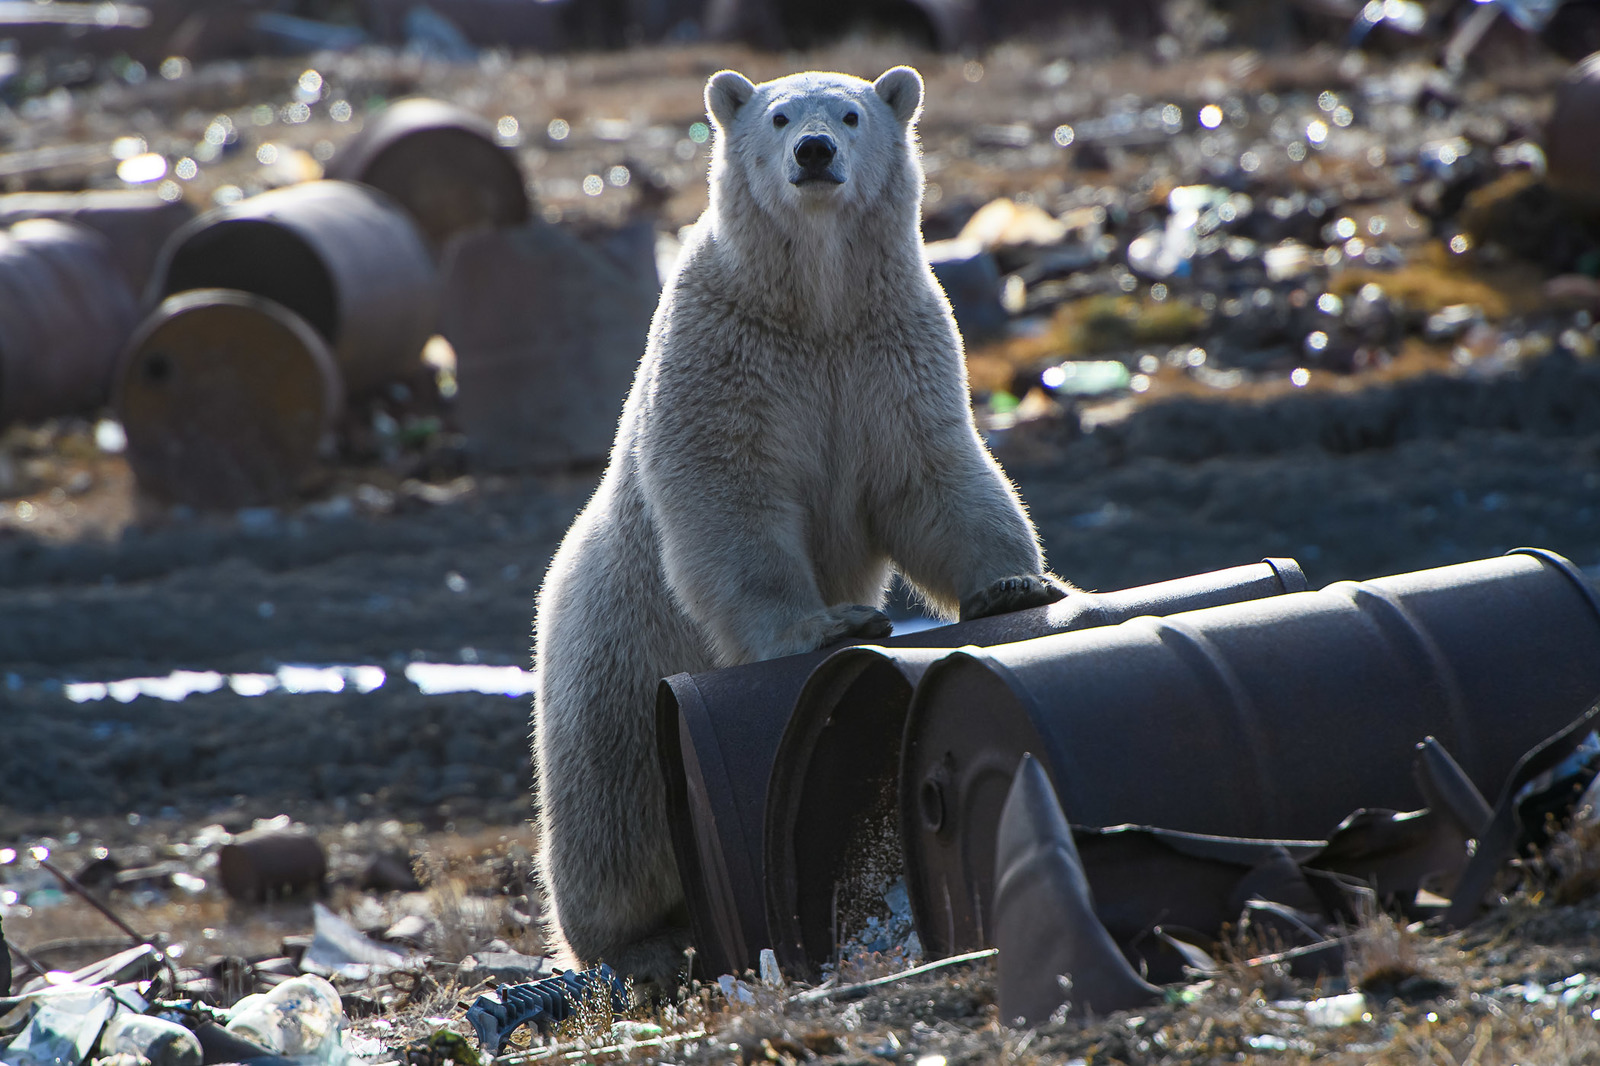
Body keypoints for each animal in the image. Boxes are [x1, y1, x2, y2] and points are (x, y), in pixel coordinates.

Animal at [531, 64, 1068, 979]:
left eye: (850, 114)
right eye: (780, 117)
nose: (814, 152)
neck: (815, 308)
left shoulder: (892, 348)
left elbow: (934, 475)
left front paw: (1014, 585)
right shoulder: (723, 357)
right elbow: (730, 499)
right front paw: (828, 625)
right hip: (611, 663)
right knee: (612, 816)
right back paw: (640, 941)